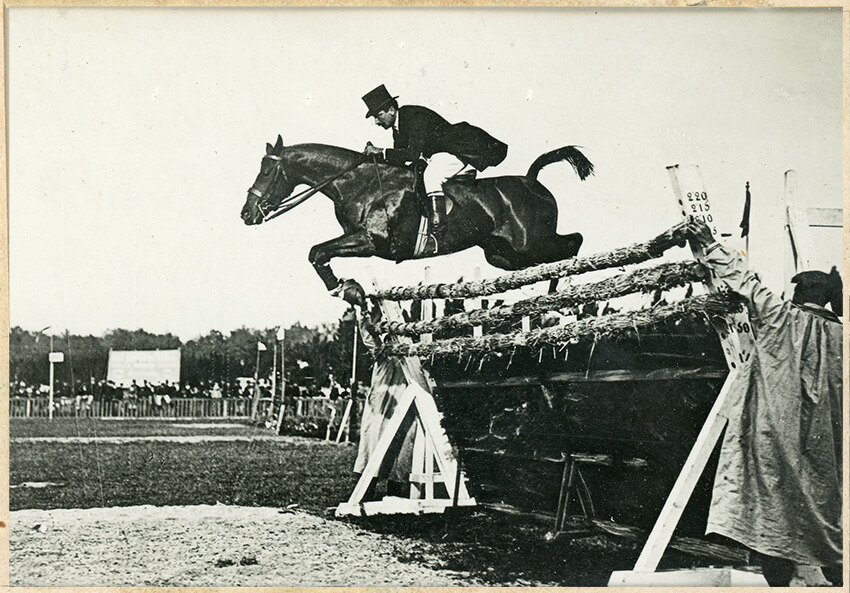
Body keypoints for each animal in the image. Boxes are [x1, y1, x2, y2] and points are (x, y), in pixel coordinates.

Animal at [242, 135, 592, 306]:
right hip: (504, 256)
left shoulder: (372, 242)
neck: (358, 183)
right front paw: (347, 290)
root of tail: (532, 181)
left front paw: (344, 290)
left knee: (573, 242)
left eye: (267, 170)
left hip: (528, 243)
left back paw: (561, 296)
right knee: (555, 253)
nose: (246, 214)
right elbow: (318, 253)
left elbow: (317, 251)